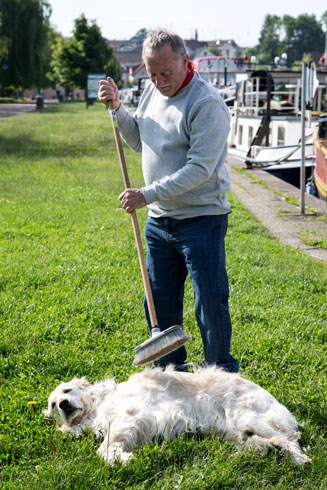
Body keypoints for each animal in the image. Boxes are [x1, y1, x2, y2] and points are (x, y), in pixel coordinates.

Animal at [43, 366, 310, 466]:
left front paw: (121, 459)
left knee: (290, 438)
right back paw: (268, 450)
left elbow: (104, 448)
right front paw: (122, 457)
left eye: (67, 391)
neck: (97, 404)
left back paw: (300, 460)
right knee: (264, 442)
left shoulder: (129, 417)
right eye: (53, 405)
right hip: (237, 433)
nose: (64, 404)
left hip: (247, 417)